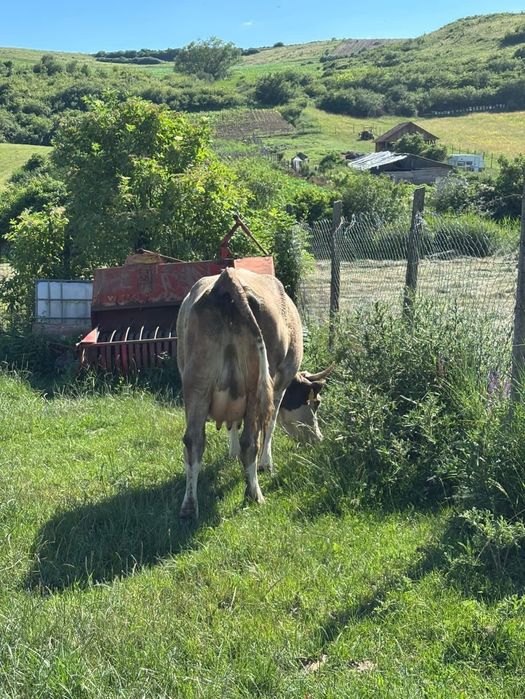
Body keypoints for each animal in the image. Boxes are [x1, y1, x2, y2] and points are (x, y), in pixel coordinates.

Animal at [176, 267, 332, 519]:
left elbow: (232, 424)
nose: (318, 439)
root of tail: (227, 279)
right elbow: (270, 426)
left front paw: (231, 452)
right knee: (250, 441)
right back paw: (254, 493)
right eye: (316, 403)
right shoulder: (279, 384)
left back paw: (189, 506)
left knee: (193, 441)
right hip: (255, 388)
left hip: (196, 383)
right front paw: (266, 464)